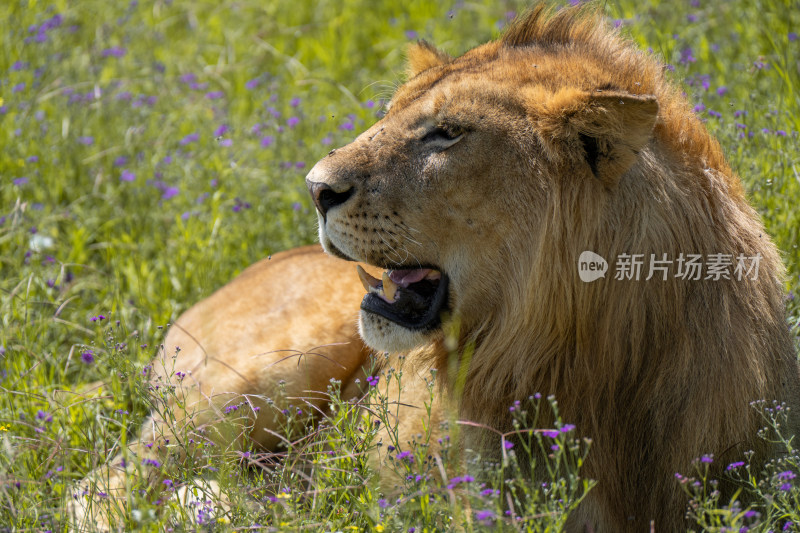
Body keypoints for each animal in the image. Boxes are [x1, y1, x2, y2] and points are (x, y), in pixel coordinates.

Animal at [70, 5, 800, 532]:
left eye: (445, 134)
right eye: (390, 115)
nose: (314, 188)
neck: (590, 360)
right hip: (258, 377)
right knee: (98, 488)